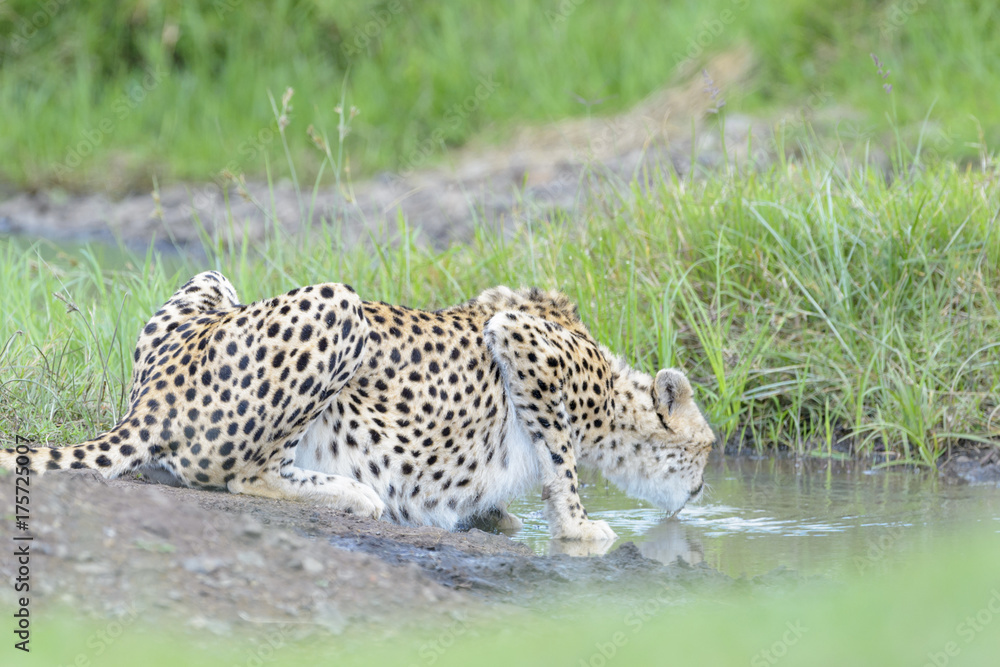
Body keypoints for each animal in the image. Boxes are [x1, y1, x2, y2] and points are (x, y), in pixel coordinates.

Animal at [1, 271, 715, 541]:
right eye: (708, 454)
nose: (703, 491)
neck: (614, 401)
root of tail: (153, 395)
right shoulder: (520, 336)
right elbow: (561, 465)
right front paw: (580, 527)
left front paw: (501, 518)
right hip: (340, 304)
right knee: (239, 474)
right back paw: (352, 494)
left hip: (212, 279)